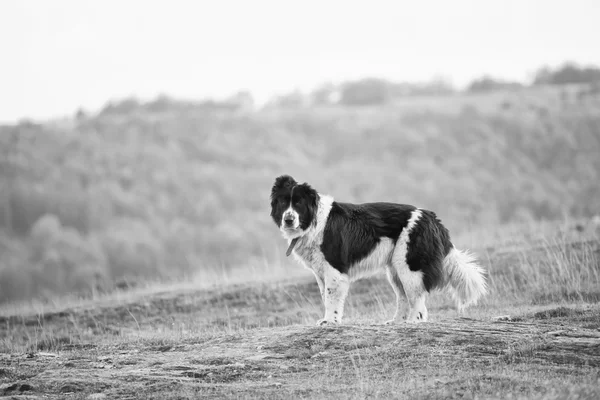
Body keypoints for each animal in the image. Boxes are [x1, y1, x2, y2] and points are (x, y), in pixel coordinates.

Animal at [270, 175, 488, 324]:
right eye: (283, 202)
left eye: (298, 203)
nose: (288, 219)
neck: (315, 222)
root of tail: (433, 218)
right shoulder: (320, 272)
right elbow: (325, 296)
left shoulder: (334, 269)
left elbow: (331, 298)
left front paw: (330, 321)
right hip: (395, 270)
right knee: (403, 297)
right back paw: (397, 322)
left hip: (409, 266)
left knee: (417, 300)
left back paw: (412, 322)